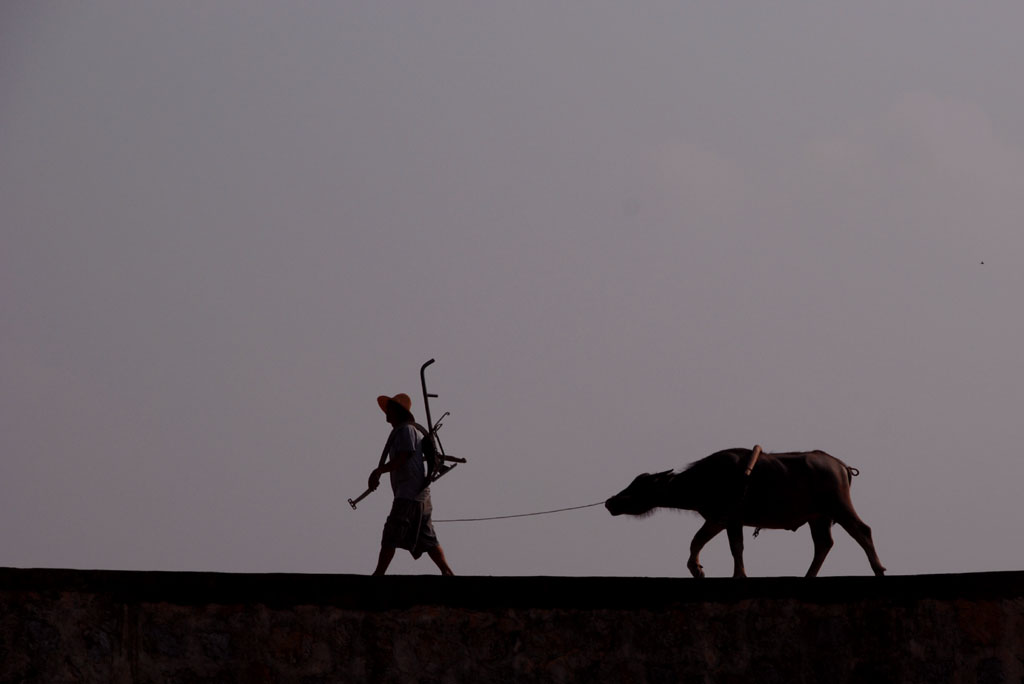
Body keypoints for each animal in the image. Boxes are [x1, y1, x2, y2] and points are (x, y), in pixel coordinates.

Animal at [602, 448, 884, 577]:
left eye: (641, 486)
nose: (610, 502)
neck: (705, 479)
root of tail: (840, 465)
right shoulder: (725, 521)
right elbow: (722, 544)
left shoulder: (724, 518)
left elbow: (713, 543)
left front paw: (705, 570)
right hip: (819, 517)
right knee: (824, 543)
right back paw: (808, 575)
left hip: (839, 506)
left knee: (862, 531)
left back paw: (878, 569)